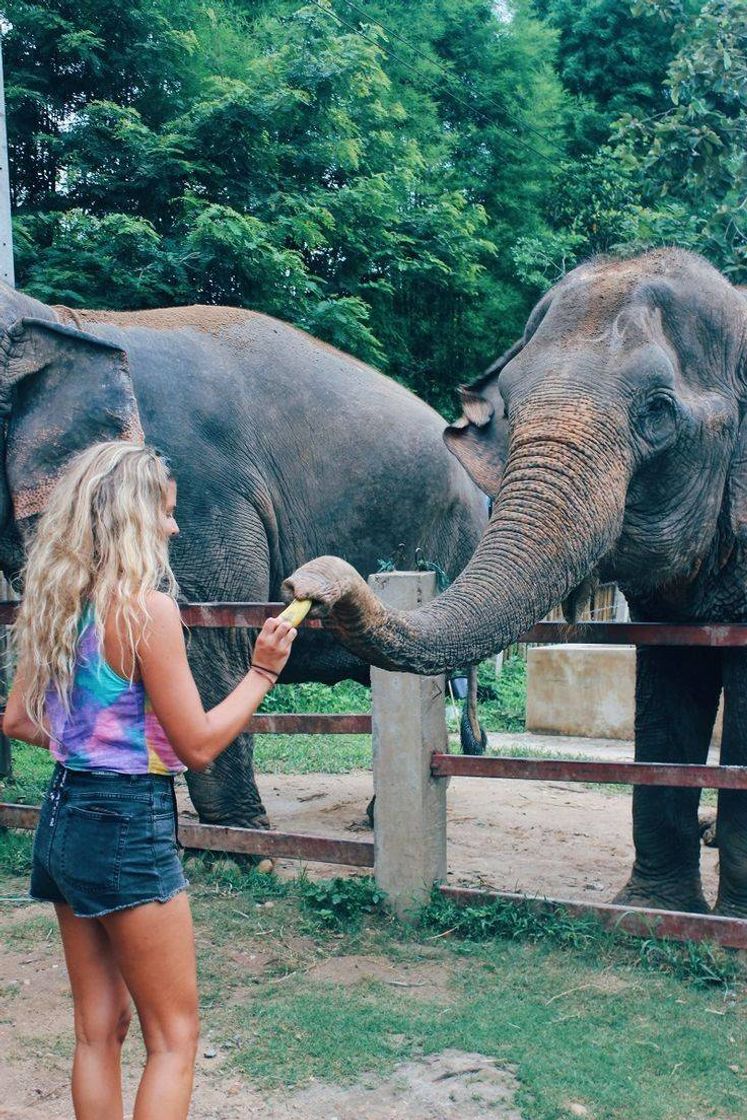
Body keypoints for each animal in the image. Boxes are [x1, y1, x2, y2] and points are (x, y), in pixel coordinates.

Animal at [283, 247, 747, 918]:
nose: (308, 581)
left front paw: (719, 921)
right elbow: (668, 683)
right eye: (512, 403)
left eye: (658, 410)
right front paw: (654, 911)